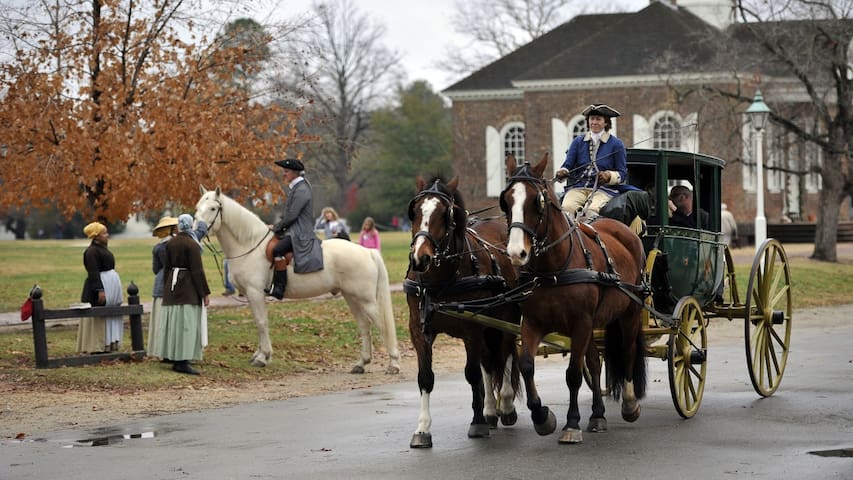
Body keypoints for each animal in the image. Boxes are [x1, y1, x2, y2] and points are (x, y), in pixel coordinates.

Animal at [195, 186, 402, 374]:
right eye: (198, 207)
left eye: (213, 208)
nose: (197, 229)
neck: (249, 245)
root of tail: (367, 251)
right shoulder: (249, 294)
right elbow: (258, 322)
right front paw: (259, 355)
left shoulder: (255, 292)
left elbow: (261, 322)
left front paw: (263, 357)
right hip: (351, 297)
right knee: (364, 325)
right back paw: (361, 363)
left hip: (366, 300)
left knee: (382, 325)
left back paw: (393, 364)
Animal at [404, 176, 520, 450]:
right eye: (415, 211)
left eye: (445, 214)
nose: (420, 259)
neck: (440, 281)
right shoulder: (419, 329)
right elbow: (425, 377)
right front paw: (422, 429)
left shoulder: (472, 327)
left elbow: (472, 373)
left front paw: (477, 422)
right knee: (490, 361)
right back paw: (491, 410)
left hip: (506, 318)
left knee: (507, 354)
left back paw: (506, 405)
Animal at [500, 154, 644, 442]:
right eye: (506, 200)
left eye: (537, 201)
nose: (516, 253)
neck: (553, 269)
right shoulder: (533, 323)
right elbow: (527, 365)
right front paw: (542, 417)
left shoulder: (580, 323)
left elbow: (573, 374)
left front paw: (572, 423)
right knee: (594, 362)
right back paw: (598, 415)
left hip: (630, 312)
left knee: (628, 351)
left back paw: (630, 403)